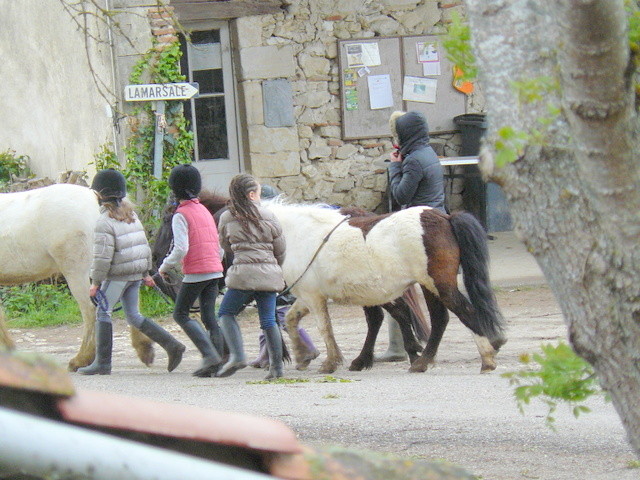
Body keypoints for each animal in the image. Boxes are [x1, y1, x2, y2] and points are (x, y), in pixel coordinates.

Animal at [262, 201, 508, 374]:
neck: (298, 234)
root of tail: (445, 216)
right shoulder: (308, 295)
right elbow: (291, 319)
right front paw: (302, 356)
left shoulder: (313, 296)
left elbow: (325, 328)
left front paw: (330, 362)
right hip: (427, 286)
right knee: (439, 319)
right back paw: (421, 361)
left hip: (438, 284)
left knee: (463, 311)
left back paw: (486, 357)